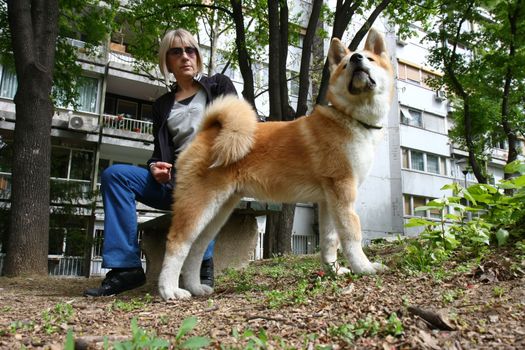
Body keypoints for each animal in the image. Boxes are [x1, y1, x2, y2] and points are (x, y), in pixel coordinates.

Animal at [159, 28, 392, 300]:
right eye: (345, 64)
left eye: (370, 59)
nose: (356, 59)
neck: (350, 118)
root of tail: (208, 131)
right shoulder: (342, 190)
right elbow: (351, 234)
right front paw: (364, 267)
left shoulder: (328, 200)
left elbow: (329, 240)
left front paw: (333, 271)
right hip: (199, 203)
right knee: (177, 243)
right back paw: (169, 290)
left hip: (219, 210)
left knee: (197, 247)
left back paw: (195, 287)